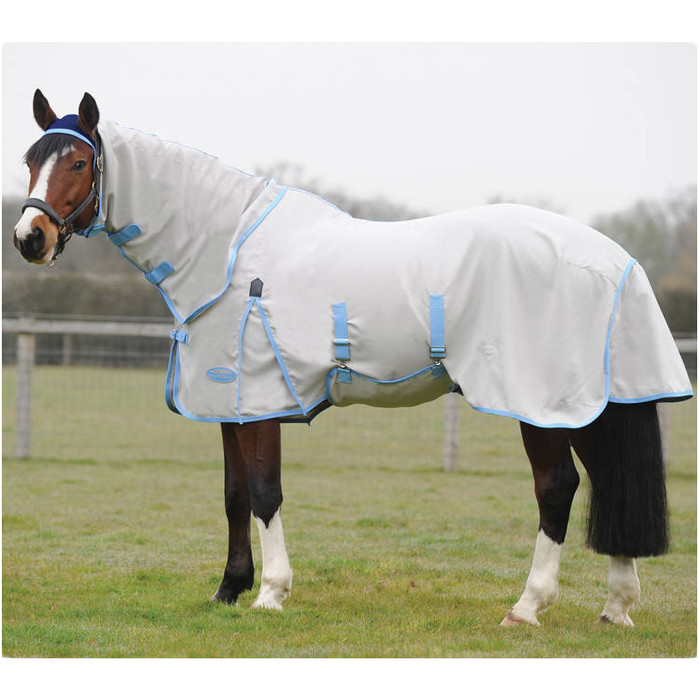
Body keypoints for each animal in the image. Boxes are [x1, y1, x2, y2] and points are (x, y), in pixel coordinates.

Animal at [14, 90, 693, 627]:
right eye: (29, 160)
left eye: (79, 161)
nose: (28, 239)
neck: (229, 253)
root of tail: (615, 260)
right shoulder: (231, 404)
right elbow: (233, 495)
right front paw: (228, 589)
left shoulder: (262, 402)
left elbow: (264, 492)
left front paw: (271, 593)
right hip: (595, 402)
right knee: (608, 483)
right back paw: (615, 608)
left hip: (540, 402)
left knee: (557, 488)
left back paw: (527, 606)